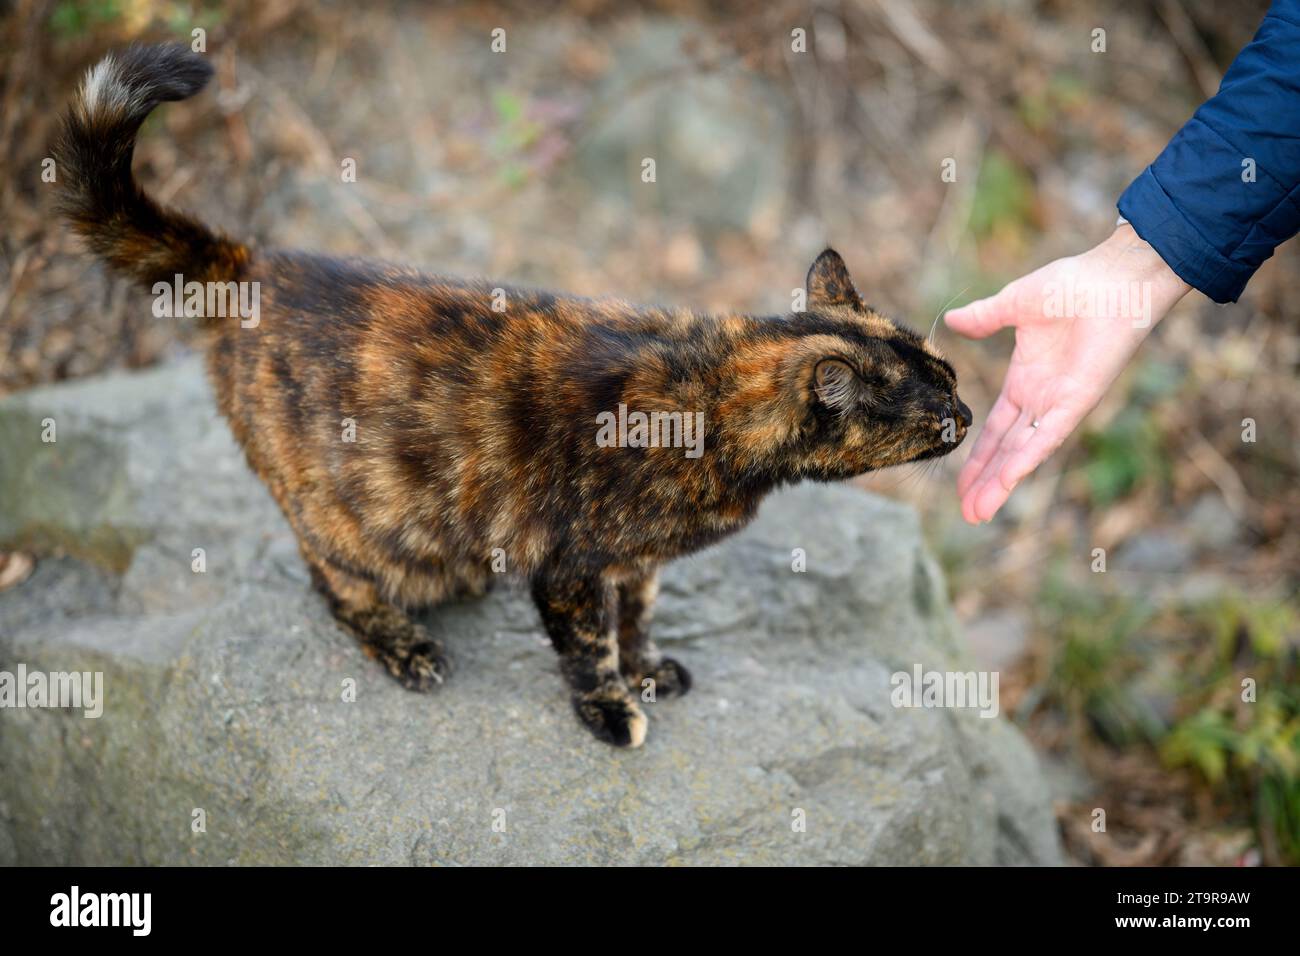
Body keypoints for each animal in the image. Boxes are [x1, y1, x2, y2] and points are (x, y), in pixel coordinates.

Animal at [55, 44, 972, 749]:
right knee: (332, 579)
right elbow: (589, 646)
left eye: (954, 376)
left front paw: (647, 669)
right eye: (933, 409)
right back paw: (407, 645)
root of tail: (249, 261)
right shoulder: (569, 565)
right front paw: (611, 710)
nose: (966, 415)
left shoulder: (634, 560)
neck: (707, 392)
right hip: (350, 512)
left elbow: (636, 616)